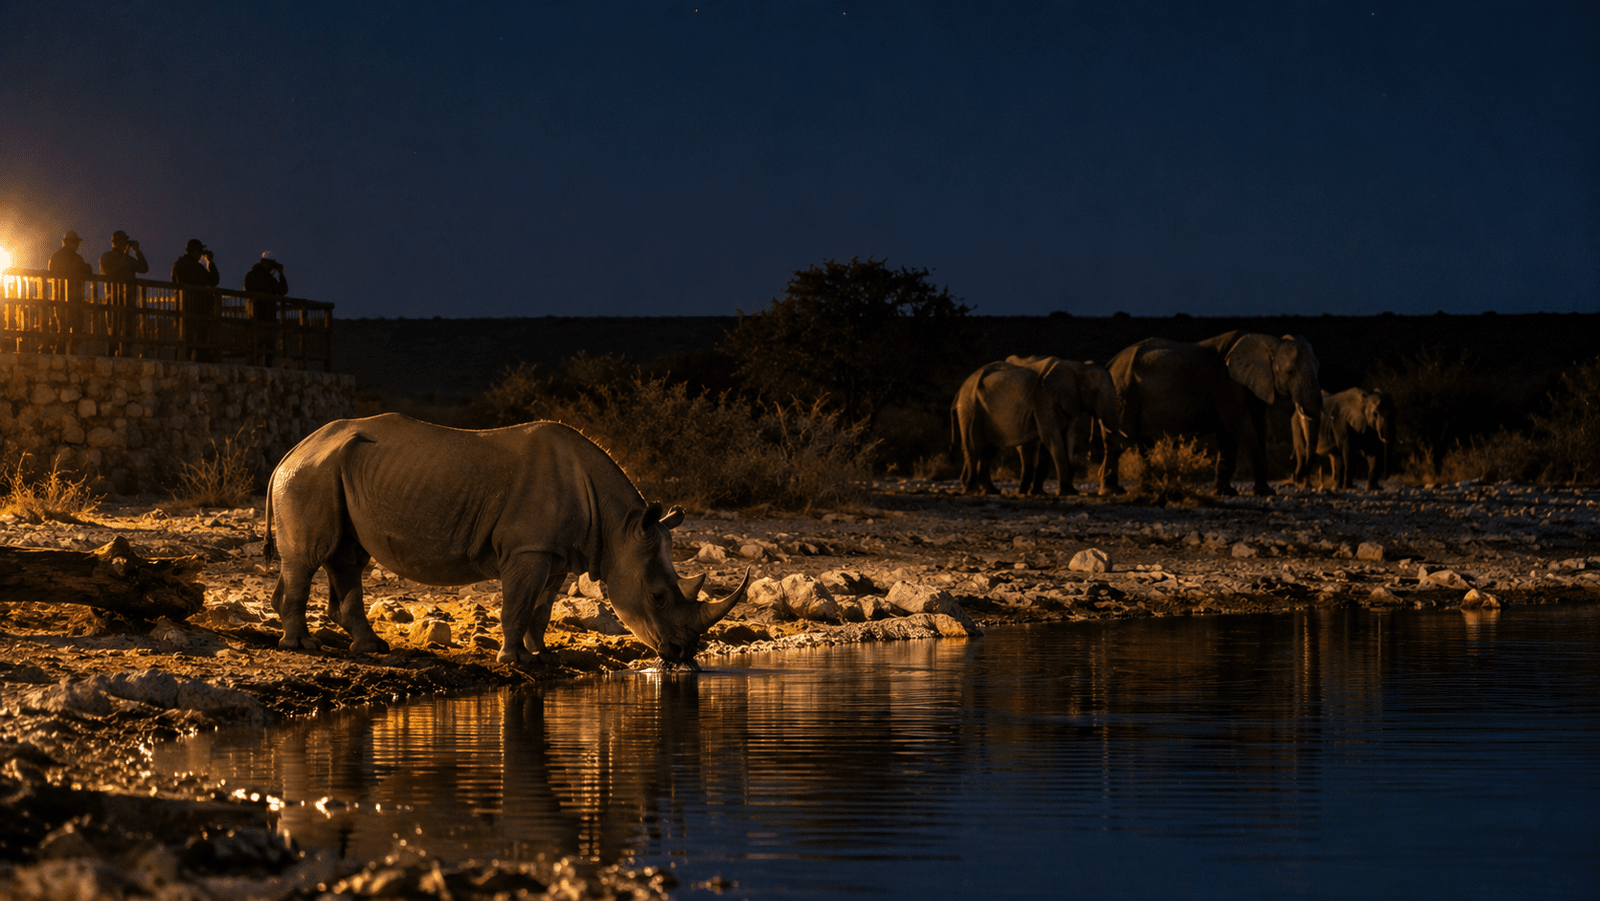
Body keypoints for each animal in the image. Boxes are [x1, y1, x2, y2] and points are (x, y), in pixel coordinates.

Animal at [264, 413, 748, 668]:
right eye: (659, 596)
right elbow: (516, 604)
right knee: (308, 559)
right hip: (309, 475)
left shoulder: (555, 553)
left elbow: (541, 607)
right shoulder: (527, 549)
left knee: (347, 558)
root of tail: (290, 450)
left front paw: (543, 655)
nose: (684, 653)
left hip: (333, 472)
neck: (619, 530)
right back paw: (301, 647)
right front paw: (513, 660)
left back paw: (371, 648)